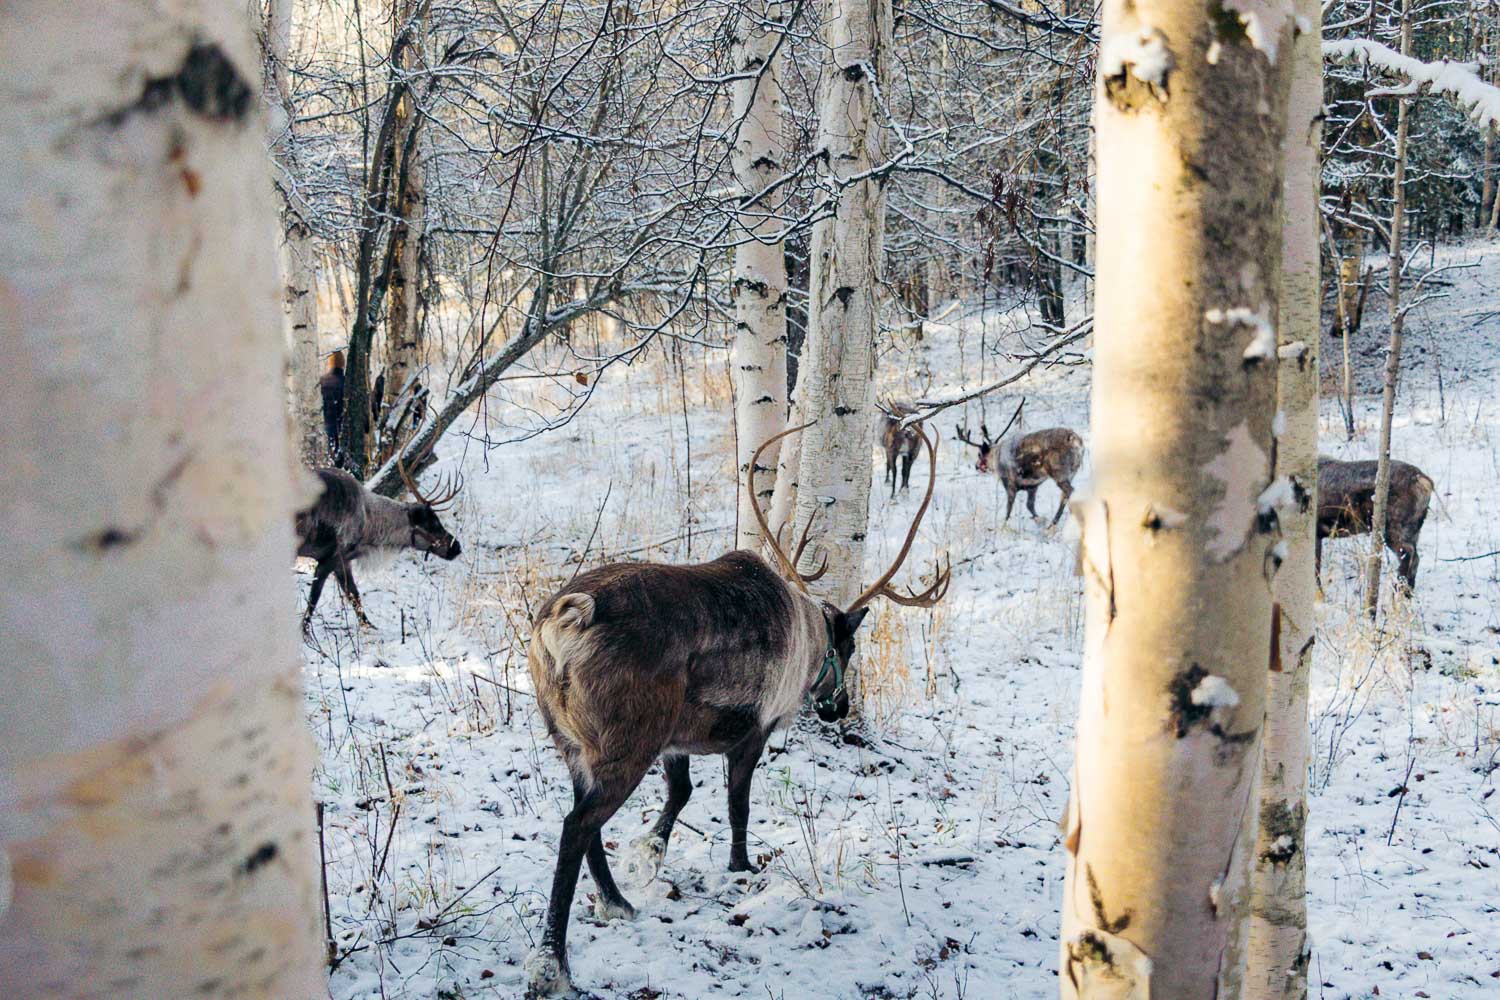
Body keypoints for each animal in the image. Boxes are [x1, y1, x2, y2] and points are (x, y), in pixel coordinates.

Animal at [294, 442, 462, 633]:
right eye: (432, 523)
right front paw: (304, 631)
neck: (369, 526)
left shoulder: (342, 561)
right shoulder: (330, 559)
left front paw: (369, 626)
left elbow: (354, 595)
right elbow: (314, 599)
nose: (456, 547)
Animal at [522, 423, 950, 996]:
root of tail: (569, 618)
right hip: (627, 745)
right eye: (849, 648)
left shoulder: (677, 739)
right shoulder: (754, 730)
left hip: (571, 742)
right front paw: (742, 867)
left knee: (582, 821)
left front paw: (648, 855)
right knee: (576, 826)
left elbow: (681, 793)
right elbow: (737, 805)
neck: (808, 638)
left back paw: (617, 903)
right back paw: (553, 964)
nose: (837, 709)